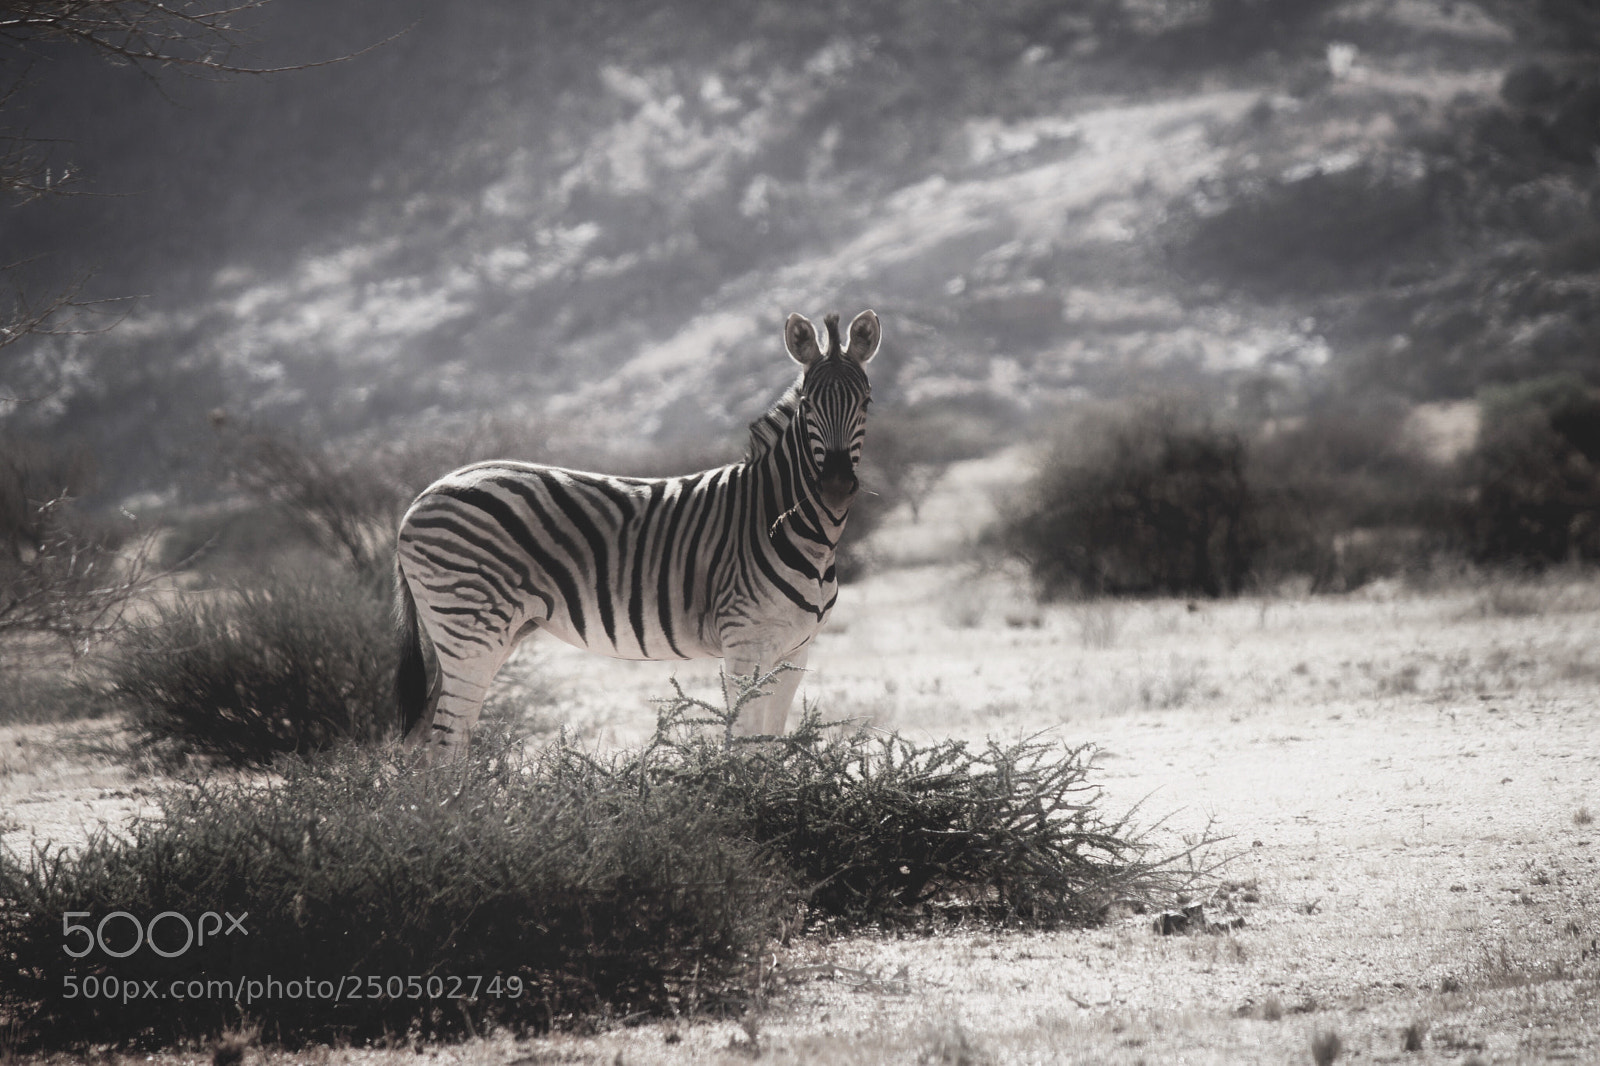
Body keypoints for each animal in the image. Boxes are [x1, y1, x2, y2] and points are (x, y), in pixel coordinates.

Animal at [395, 309, 881, 761]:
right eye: (808, 405)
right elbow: (743, 746)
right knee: (445, 746)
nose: (836, 487)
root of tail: (422, 496)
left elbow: (770, 745)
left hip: (475, 635)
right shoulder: (745, 643)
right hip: (471, 629)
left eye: (867, 401)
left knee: (424, 739)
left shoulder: (795, 653)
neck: (797, 528)